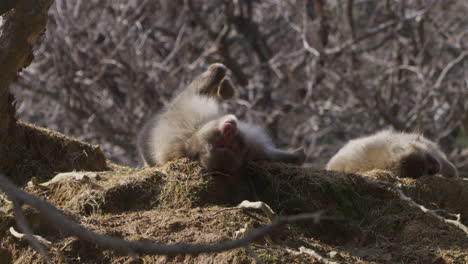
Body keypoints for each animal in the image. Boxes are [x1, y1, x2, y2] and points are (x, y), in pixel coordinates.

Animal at [137, 63, 306, 172]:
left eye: (231, 145)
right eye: (220, 141)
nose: (229, 129)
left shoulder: (253, 149)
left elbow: (271, 154)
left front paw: (296, 156)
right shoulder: (191, 116)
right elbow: (195, 92)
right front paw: (217, 71)